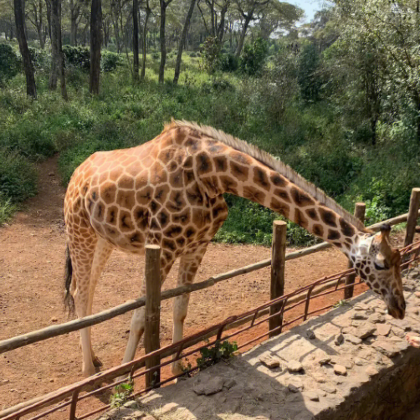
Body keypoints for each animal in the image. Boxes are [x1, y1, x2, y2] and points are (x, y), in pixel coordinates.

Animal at [64, 120, 406, 376]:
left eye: (399, 259)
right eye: (380, 264)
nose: (401, 307)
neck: (212, 174)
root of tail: (75, 172)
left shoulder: (196, 245)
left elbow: (180, 310)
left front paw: (176, 368)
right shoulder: (162, 243)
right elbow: (139, 317)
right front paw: (126, 377)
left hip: (104, 239)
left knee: (87, 292)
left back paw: (93, 360)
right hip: (79, 230)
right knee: (80, 294)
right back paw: (88, 370)